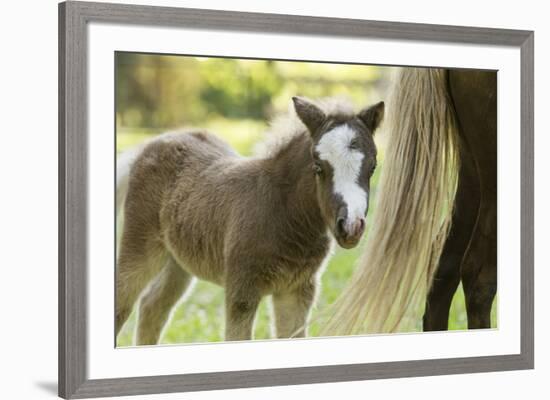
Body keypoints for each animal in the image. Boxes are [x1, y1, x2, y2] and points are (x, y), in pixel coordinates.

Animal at [116, 97, 384, 344]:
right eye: (318, 167)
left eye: (372, 167)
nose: (351, 226)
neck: (284, 213)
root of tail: (153, 142)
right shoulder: (241, 291)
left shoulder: (297, 289)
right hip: (141, 245)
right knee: (123, 304)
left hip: (179, 260)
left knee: (153, 306)